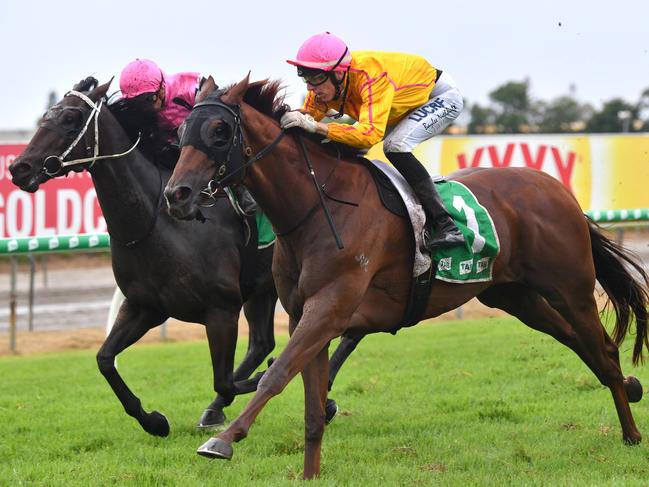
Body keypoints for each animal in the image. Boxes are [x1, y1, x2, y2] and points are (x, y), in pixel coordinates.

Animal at [8, 78, 278, 436]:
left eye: (70, 118)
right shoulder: (145, 307)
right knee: (261, 343)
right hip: (263, 287)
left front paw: (265, 379)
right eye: (49, 114)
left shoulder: (221, 310)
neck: (158, 222)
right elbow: (104, 359)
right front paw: (154, 421)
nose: (18, 167)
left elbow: (224, 381)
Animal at [163, 74, 648, 478]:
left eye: (220, 131)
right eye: (182, 133)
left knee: (603, 349)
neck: (318, 206)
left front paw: (222, 440)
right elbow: (313, 408)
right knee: (580, 344)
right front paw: (310, 474)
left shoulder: (329, 308)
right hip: (516, 296)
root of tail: (557, 189)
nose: (176, 194)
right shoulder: (307, 314)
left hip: (570, 287)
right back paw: (630, 391)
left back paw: (630, 431)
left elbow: (276, 373)